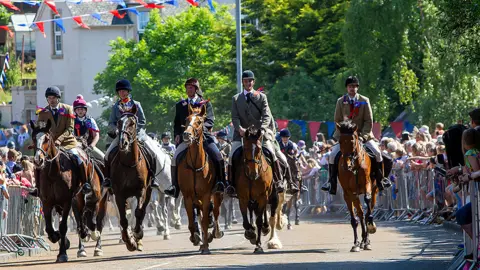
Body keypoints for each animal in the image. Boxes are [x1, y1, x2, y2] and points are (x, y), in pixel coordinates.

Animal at [108, 105, 153, 251]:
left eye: (132, 123)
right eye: (118, 122)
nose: (123, 142)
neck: (129, 164)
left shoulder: (141, 191)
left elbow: (138, 212)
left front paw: (137, 234)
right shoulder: (119, 194)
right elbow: (123, 219)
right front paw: (129, 241)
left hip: (148, 191)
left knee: (142, 211)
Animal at [179, 103, 224, 253]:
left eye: (199, 121)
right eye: (186, 120)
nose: (186, 135)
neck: (195, 165)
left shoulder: (206, 195)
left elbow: (205, 220)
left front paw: (205, 245)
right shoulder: (188, 197)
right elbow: (192, 222)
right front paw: (196, 238)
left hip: (217, 194)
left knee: (215, 212)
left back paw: (215, 233)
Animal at [338, 121, 378, 252]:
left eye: (352, 140)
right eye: (340, 141)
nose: (347, 165)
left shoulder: (367, 185)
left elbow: (367, 203)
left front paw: (371, 225)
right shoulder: (349, 192)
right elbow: (354, 219)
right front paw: (356, 243)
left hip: (374, 191)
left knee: (367, 210)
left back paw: (366, 240)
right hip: (353, 195)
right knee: (359, 214)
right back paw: (361, 241)